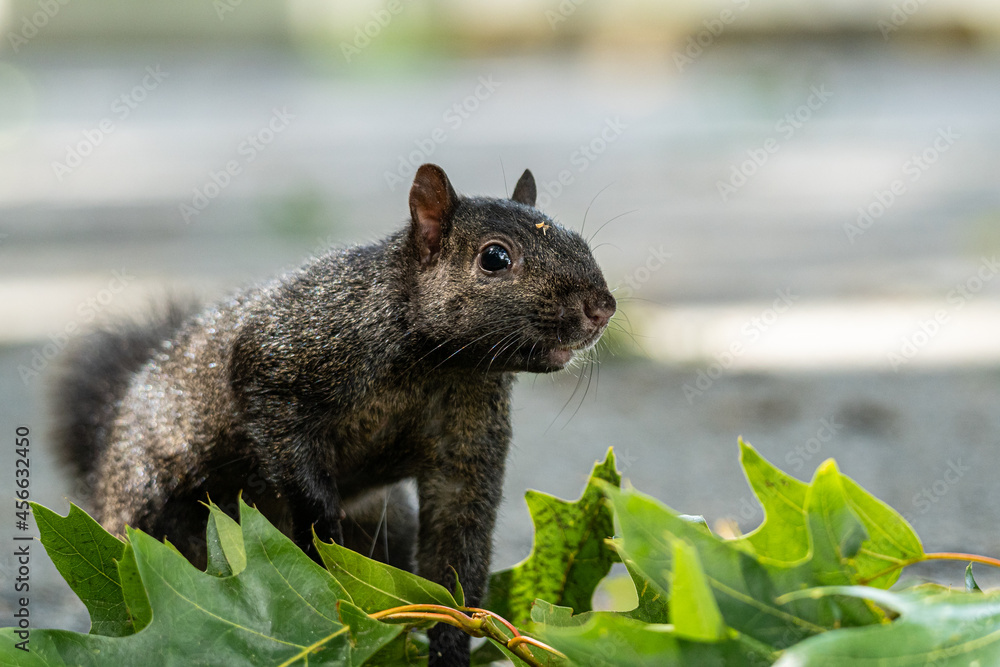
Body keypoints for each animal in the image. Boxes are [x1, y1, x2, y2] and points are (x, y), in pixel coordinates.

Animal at [54, 164, 616, 666]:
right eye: (495, 257)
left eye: (582, 243)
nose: (602, 307)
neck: (437, 365)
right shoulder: (281, 367)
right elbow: (295, 464)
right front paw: (324, 547)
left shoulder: (469, 443)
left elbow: (457, 553)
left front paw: (452, 647)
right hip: (150, 508)